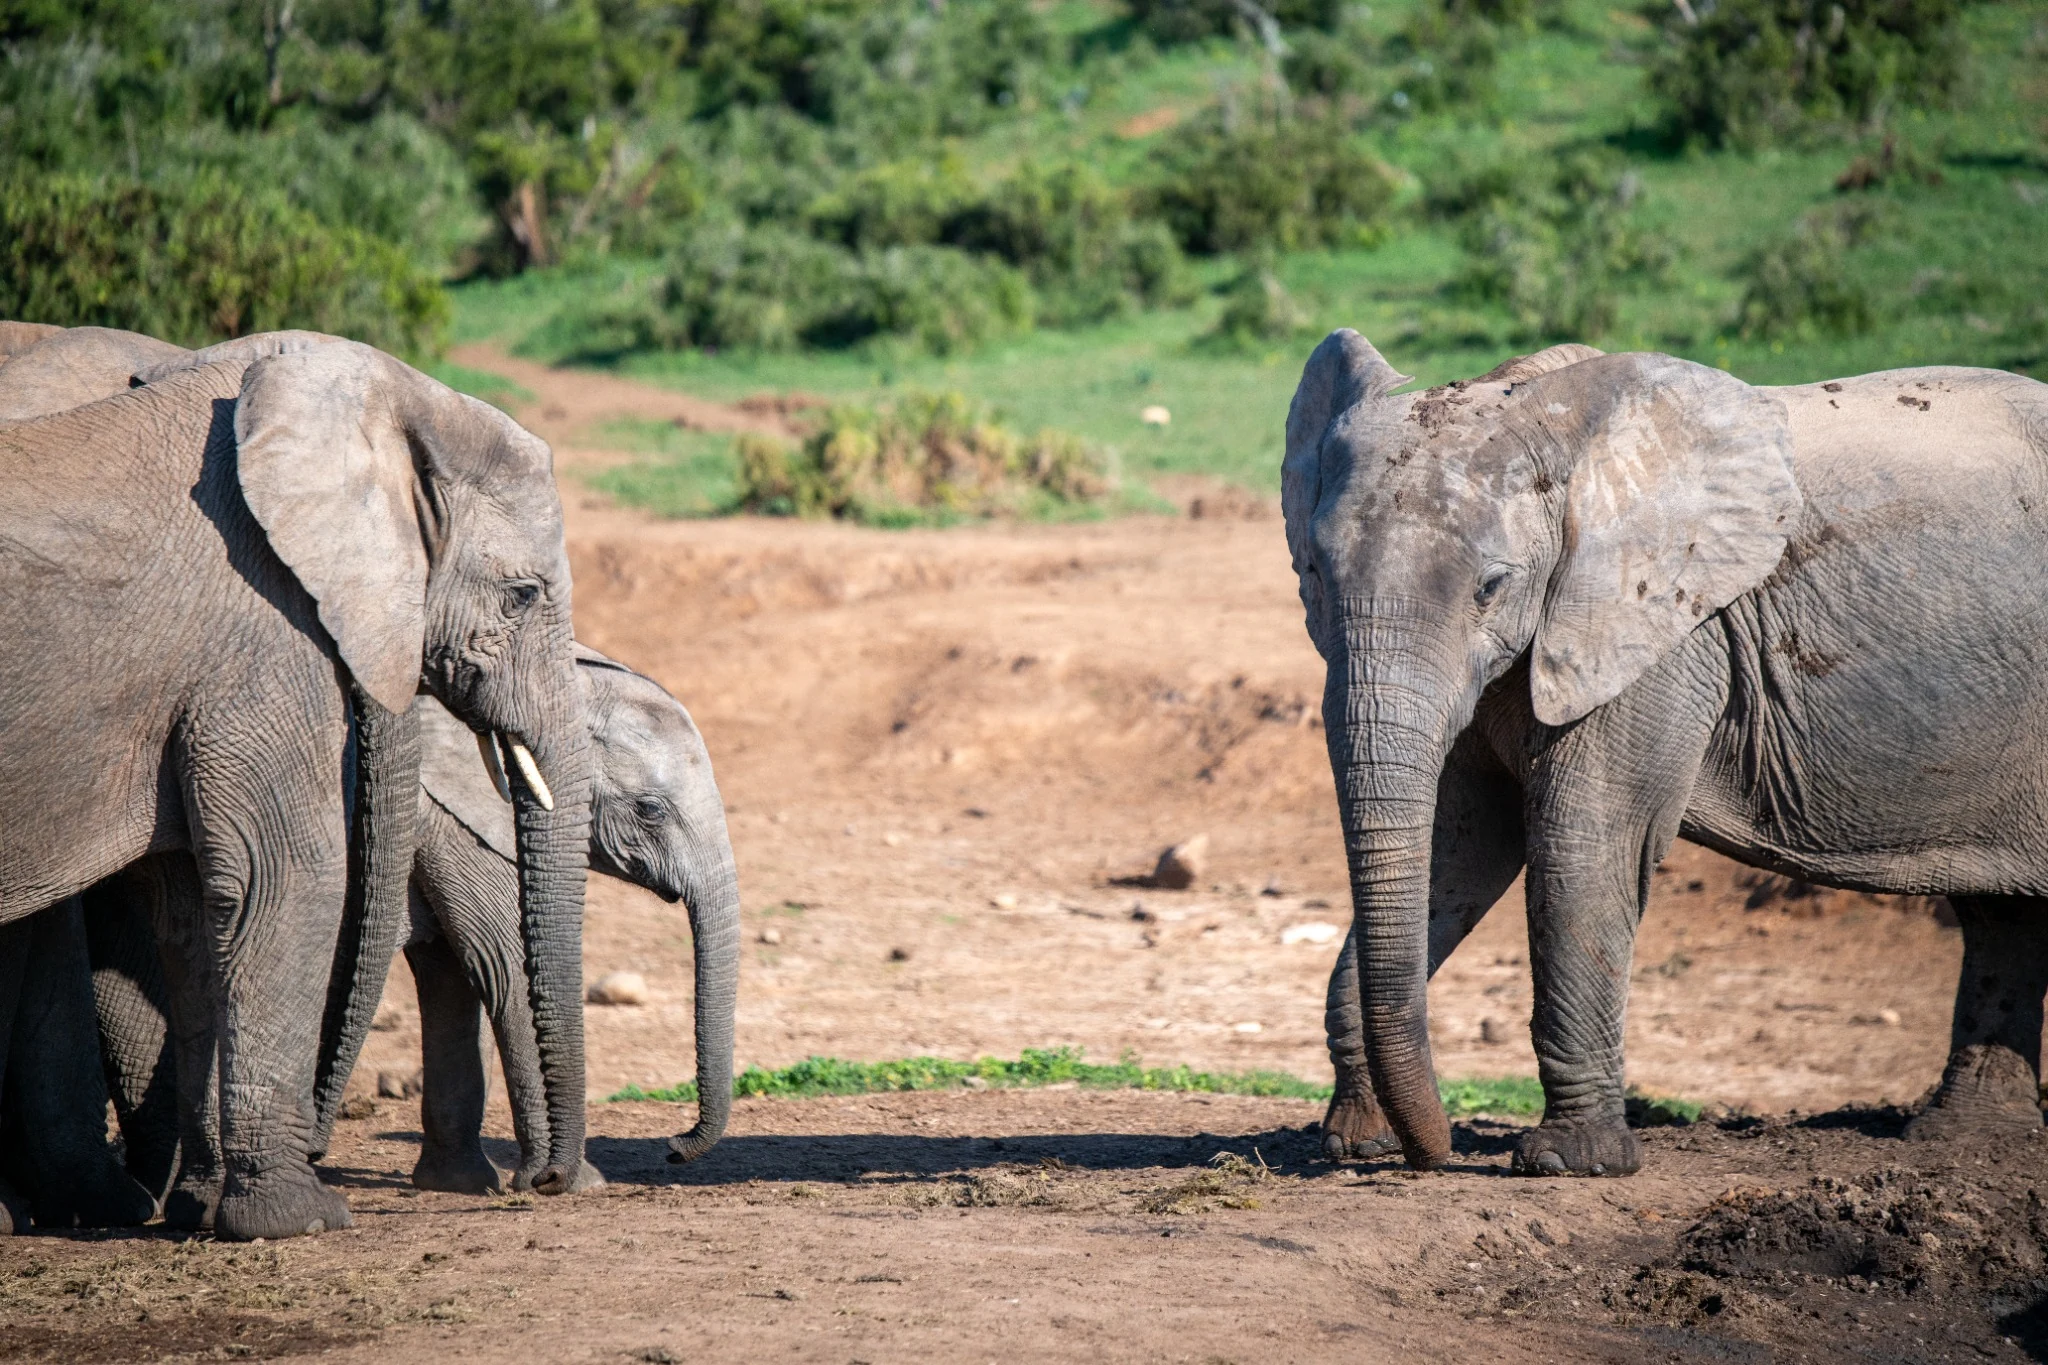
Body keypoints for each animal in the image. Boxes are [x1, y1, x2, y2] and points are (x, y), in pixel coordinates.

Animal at [0, 332, 594, 1238]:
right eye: (521, 595)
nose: (550, 1182)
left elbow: (193, 912)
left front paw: (205, 1208)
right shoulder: (262, 631)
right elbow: (287, 876)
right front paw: (300, 1217)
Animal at [76, 648, 740, 1205]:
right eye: (650, 811)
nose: (674, 1148)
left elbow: (450, 971)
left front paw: (460, 1184)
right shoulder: (455, 819)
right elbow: (502, 965)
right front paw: (575, 1185)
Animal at [1283, 330, 2048, 1176]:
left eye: (1491, 586)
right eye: (1312, 572)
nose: (1437, 1150)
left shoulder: (1667, 633)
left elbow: (1584, 842)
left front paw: (1571, 1163)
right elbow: (1462, 844)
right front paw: (1356, 1142)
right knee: (2003, 914)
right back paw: (1966, 1138)